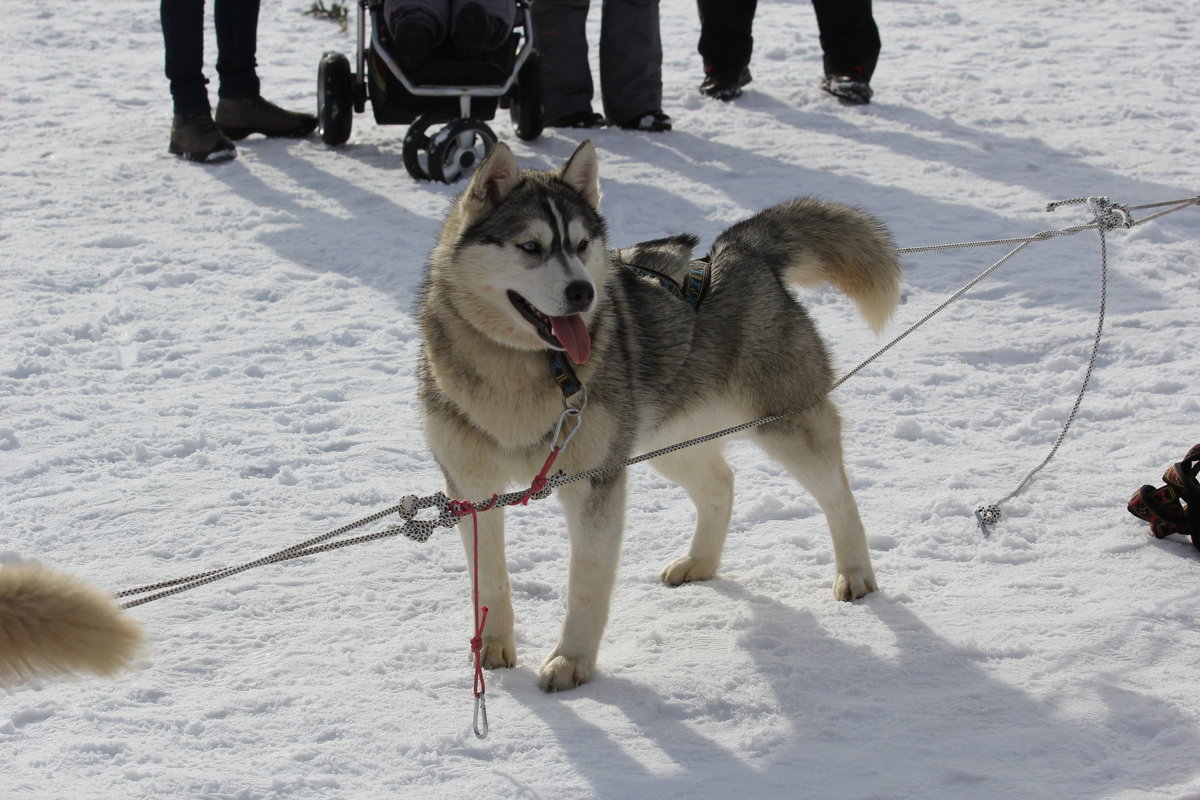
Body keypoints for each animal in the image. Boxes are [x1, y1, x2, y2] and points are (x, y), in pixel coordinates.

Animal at [422, 140, 902, 690]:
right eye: (530, 246)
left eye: (581, 244)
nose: (584, 292)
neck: (520, 373)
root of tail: (740, 251)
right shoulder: (472, 489)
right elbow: (490, 581)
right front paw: (492, 649)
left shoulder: (594, 481)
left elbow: (585, 585)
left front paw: (571, 660)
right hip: (667, 442)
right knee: (721, 484)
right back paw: (700, 562)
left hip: (785, 425)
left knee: (839, 497)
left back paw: (856, 572)